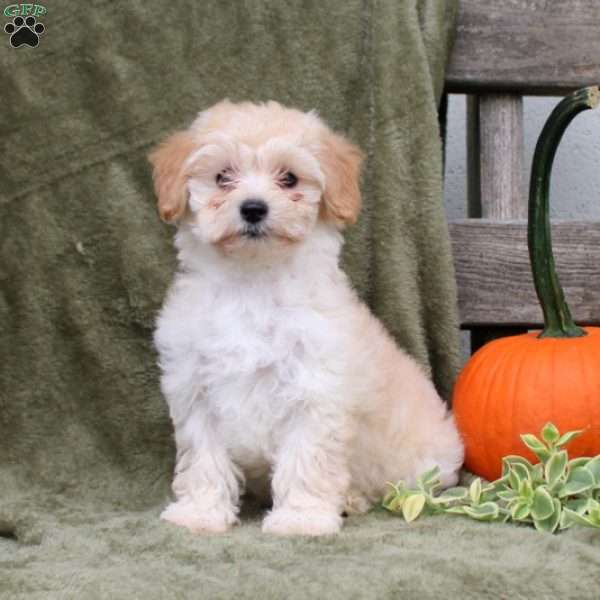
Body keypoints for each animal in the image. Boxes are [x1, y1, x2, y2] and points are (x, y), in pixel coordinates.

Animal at [148, 101, 462, 536]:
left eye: (289, 178)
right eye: (223, 177)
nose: (253, 208)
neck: (253, 283)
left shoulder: (314, 391)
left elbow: (306, 459)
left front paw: (301, 519)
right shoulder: (195, 389)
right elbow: (203, 459)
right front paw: (200, 512)